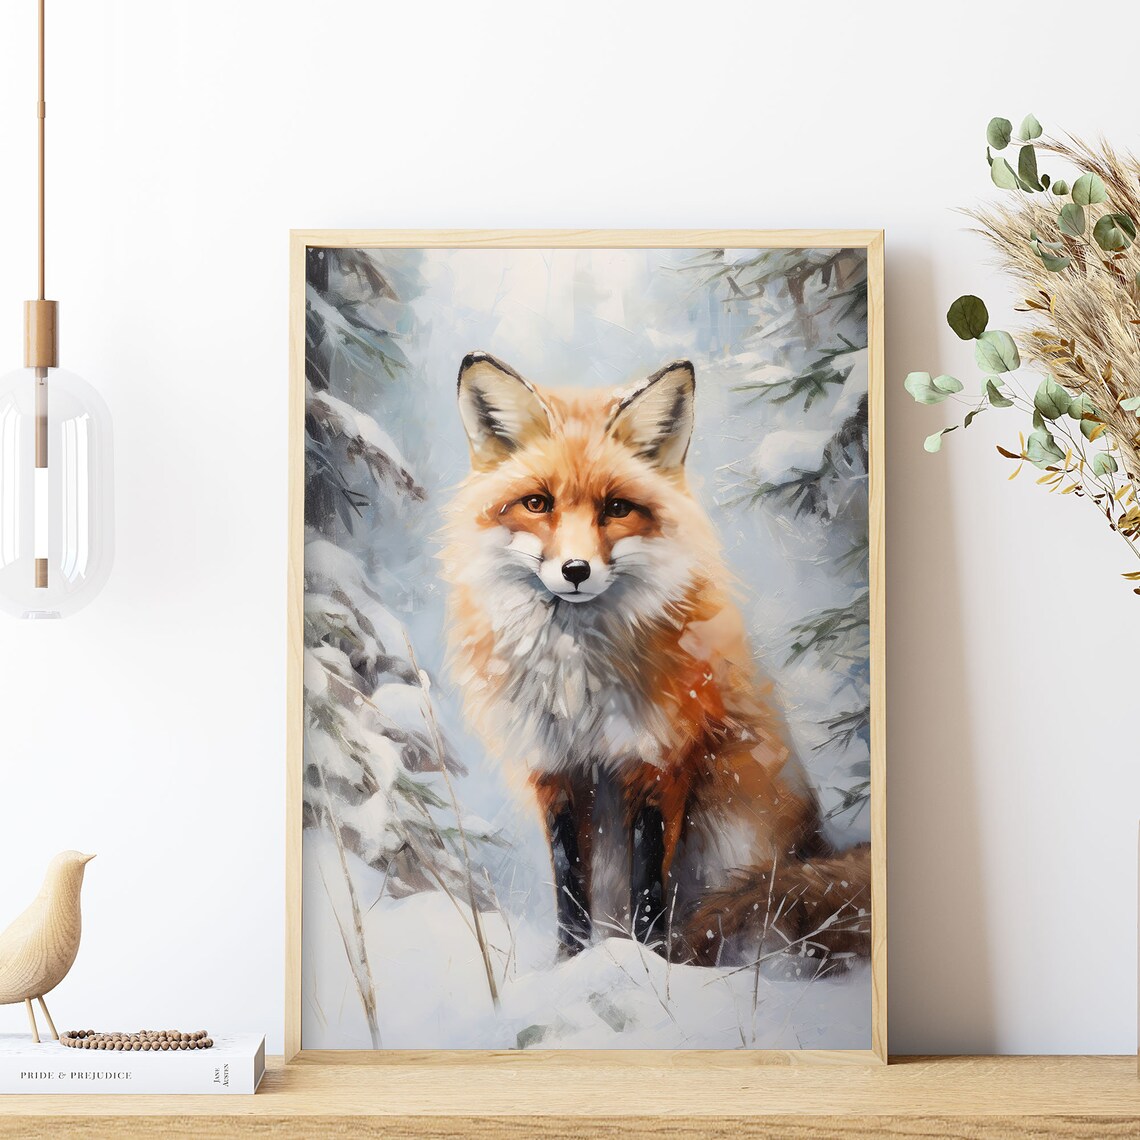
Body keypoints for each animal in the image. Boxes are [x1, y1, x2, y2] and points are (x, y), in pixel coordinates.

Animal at [440, 351, 871, 968]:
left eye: (617, 508)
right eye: (537, 503)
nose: (576, 570)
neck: (580, 684)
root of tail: (817, 843)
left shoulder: (659, 760)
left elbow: (650, 891)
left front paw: (651, 968)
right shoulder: (557, 771)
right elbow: (570, 888)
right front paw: (570, 966)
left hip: (734, 831)